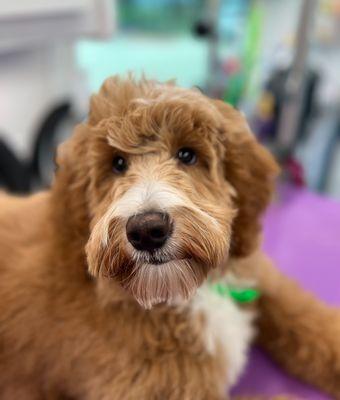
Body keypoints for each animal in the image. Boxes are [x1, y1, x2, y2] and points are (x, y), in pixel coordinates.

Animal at [0, 76, 340, 398]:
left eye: (187, 154)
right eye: (117, 163)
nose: (146, 231)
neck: (187, 293)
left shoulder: (259, 276)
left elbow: (307, 317)